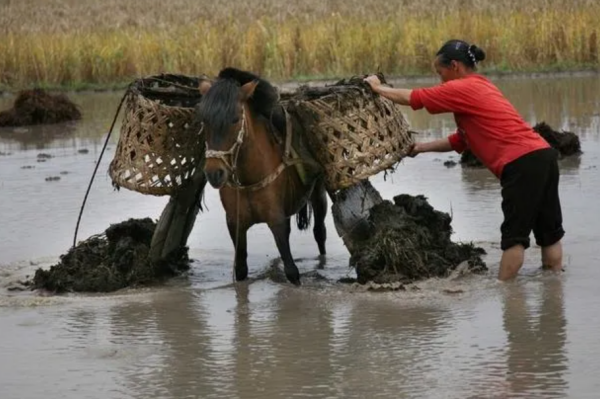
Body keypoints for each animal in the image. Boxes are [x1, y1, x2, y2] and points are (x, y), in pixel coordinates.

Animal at [196, 69, 328, 288]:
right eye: (204, 121)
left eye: (235, 119)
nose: (214, 173)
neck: (249, 179)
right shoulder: (235, 224)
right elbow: (241, 270)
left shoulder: (276, 220)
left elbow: (292, 271)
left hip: (318, 194)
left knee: (320, 232)